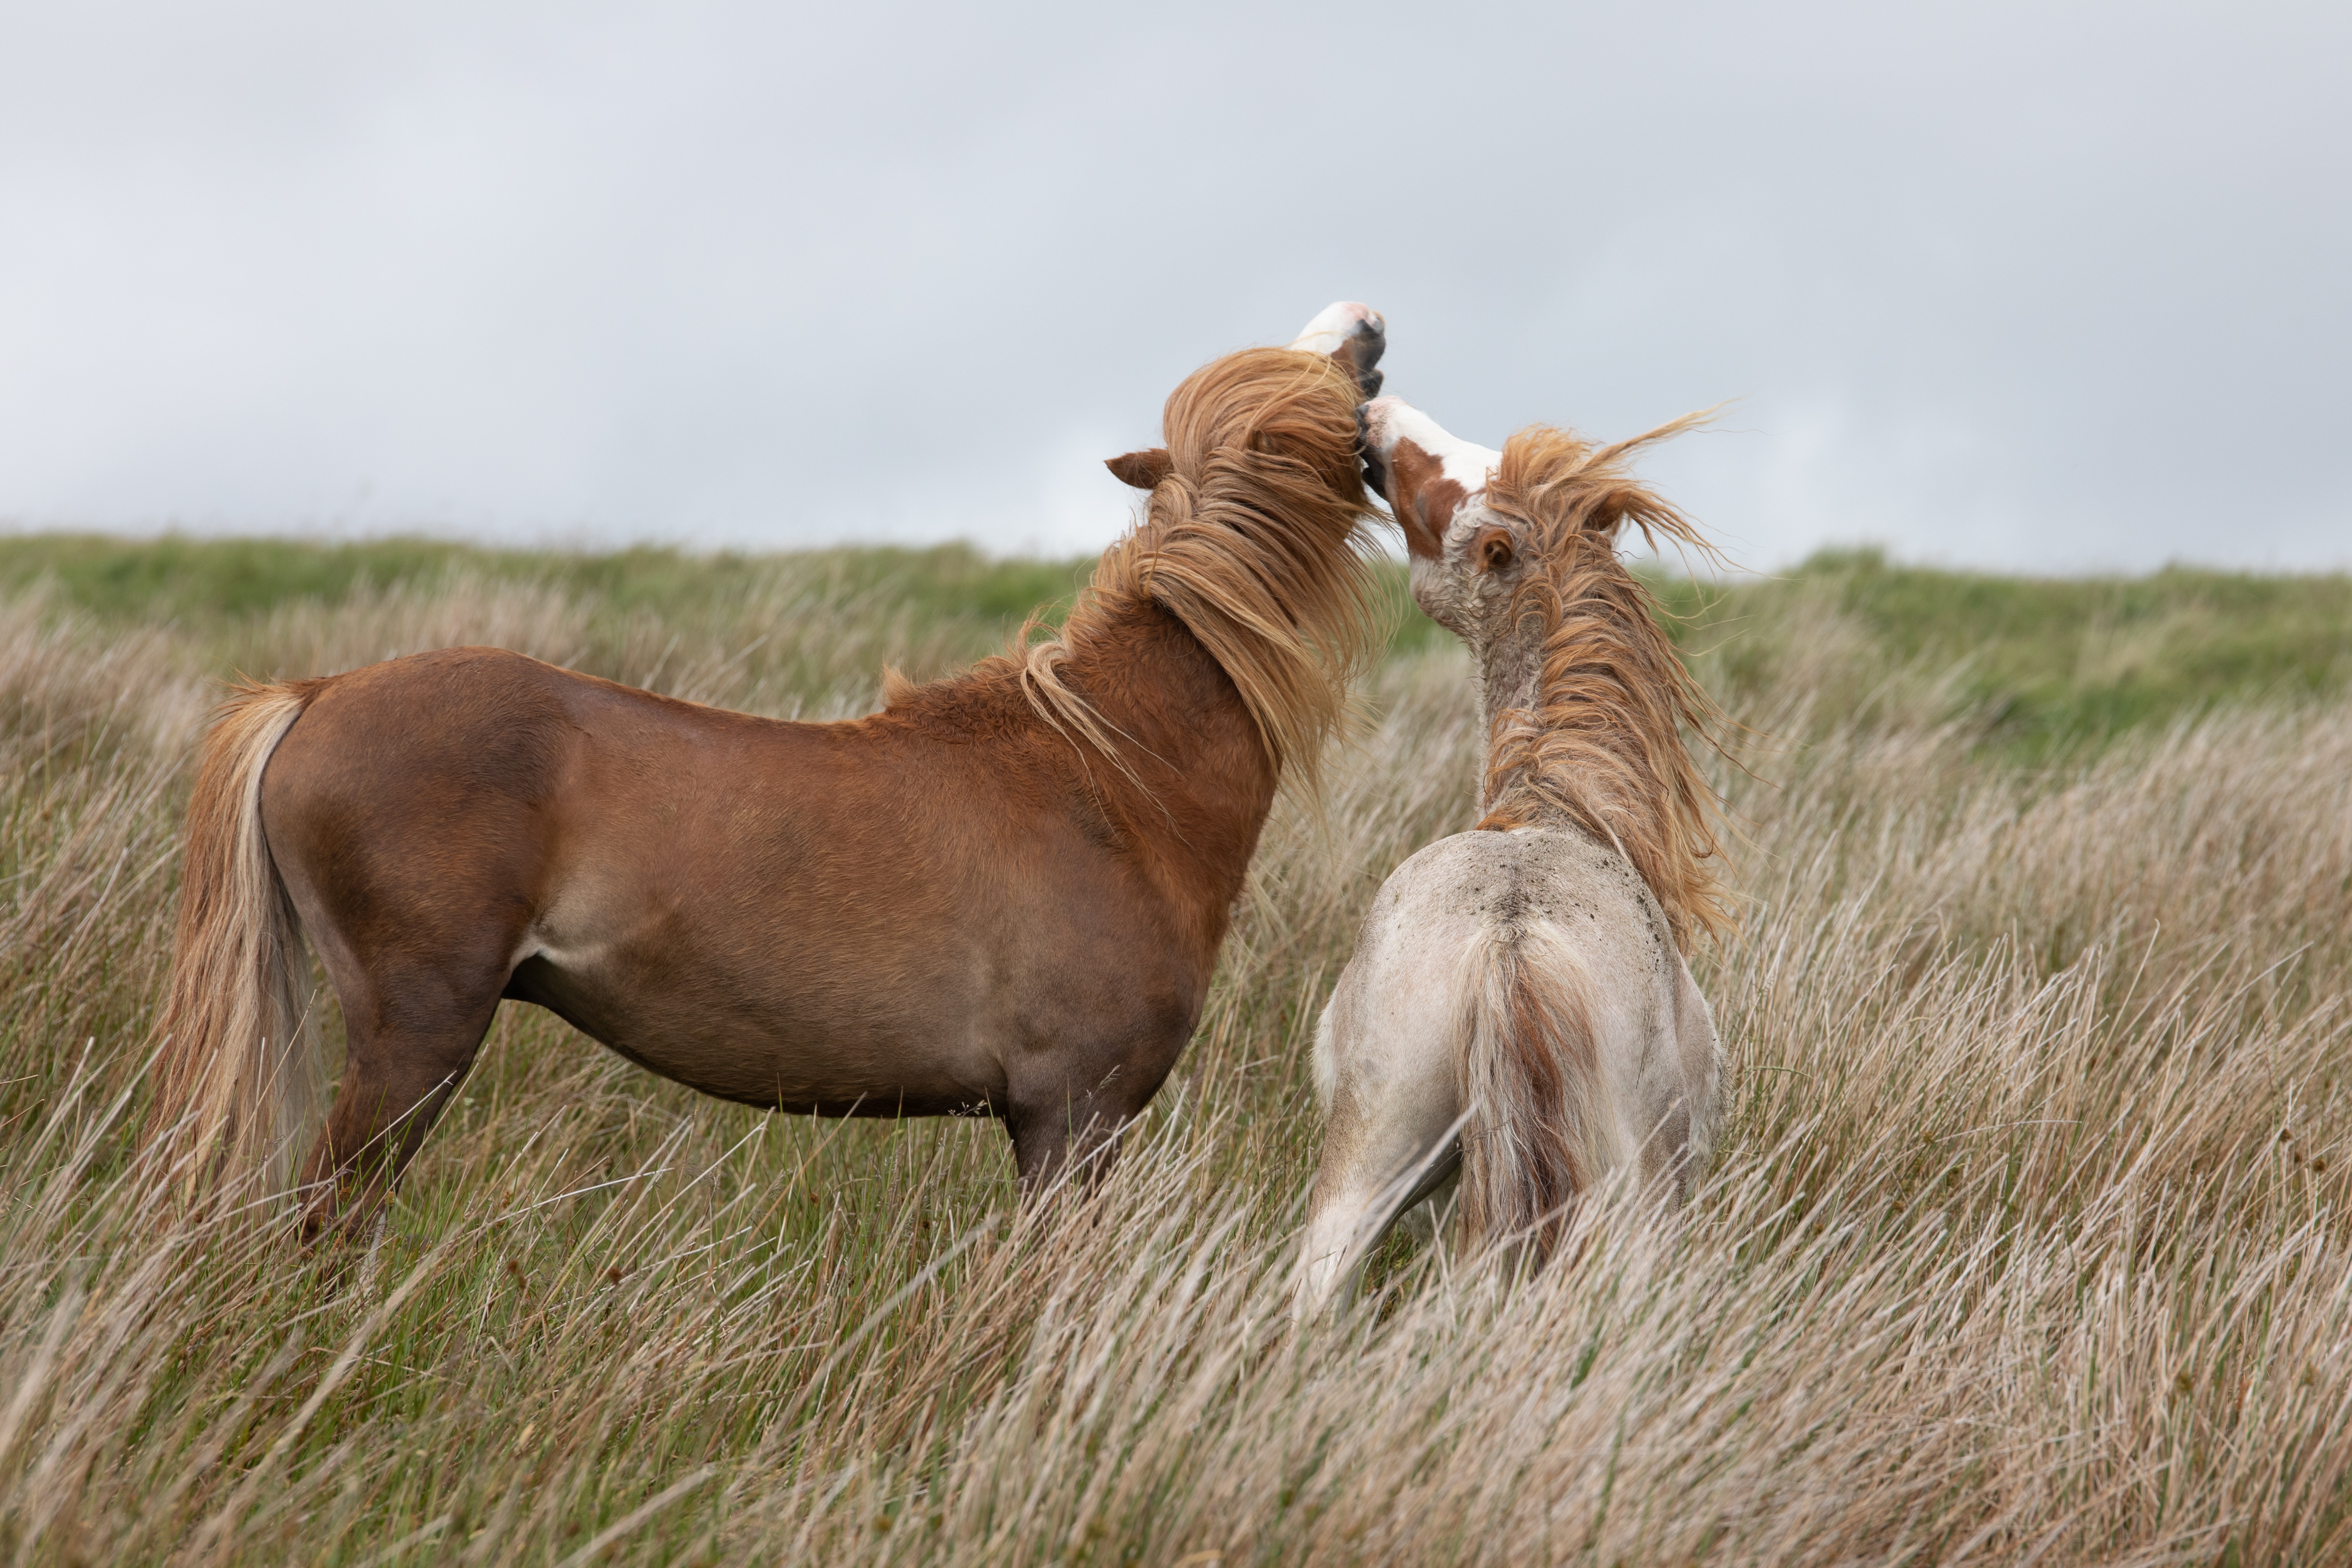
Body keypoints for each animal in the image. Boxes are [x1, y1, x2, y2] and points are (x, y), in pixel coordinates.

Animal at [143, 302, 1391, 1239]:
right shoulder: (1068, 1120)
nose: (1369, 319)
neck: (1115, 775)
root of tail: (314, 696)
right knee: (331, 1216)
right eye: (1334, 384)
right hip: (417, 1037)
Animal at [1294, 392, 1734, 1314]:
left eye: (1445, 488)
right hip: (1634, 1205)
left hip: (1366, 1171)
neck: (1551, 810)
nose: (1371, 413)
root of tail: (1509, 936)